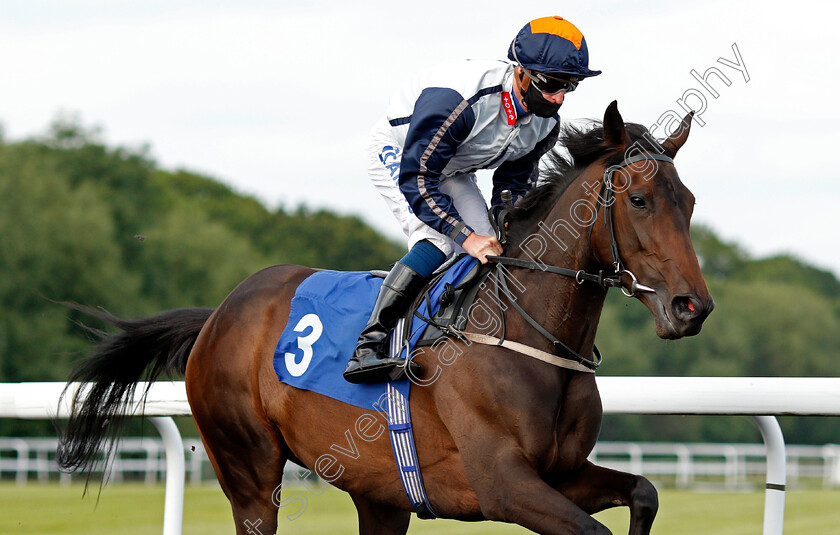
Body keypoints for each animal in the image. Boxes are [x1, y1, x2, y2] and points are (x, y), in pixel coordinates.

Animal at [59, 101, 712, 535]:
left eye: (689, 203)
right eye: (638, 200)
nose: (693, 307)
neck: (524, 334)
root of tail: (221, 312)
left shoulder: (561, 472)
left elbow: (646, 492)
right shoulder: (501, 483)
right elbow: (592, 528)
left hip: (379, 490)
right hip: (248, 470)